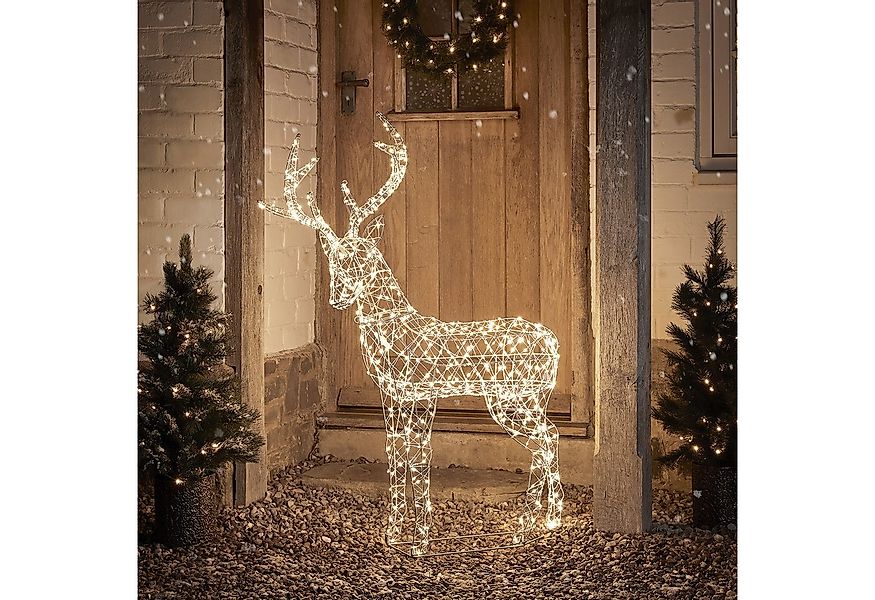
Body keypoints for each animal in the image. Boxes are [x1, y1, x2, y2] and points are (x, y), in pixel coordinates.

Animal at [261, 113, 563, 556]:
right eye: (333, 260)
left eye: (365, 257)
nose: (337, 295)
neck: (394, 330)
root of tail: (554, 344)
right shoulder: (399, 396)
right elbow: (401, 454)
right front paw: (399, 530)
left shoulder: (413, 392)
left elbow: (413, 457)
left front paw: (414, 537)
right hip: (526, 397)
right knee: (549, 438)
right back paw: (546, 522)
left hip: (513, 396)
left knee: (546, 439)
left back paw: (530, 526)